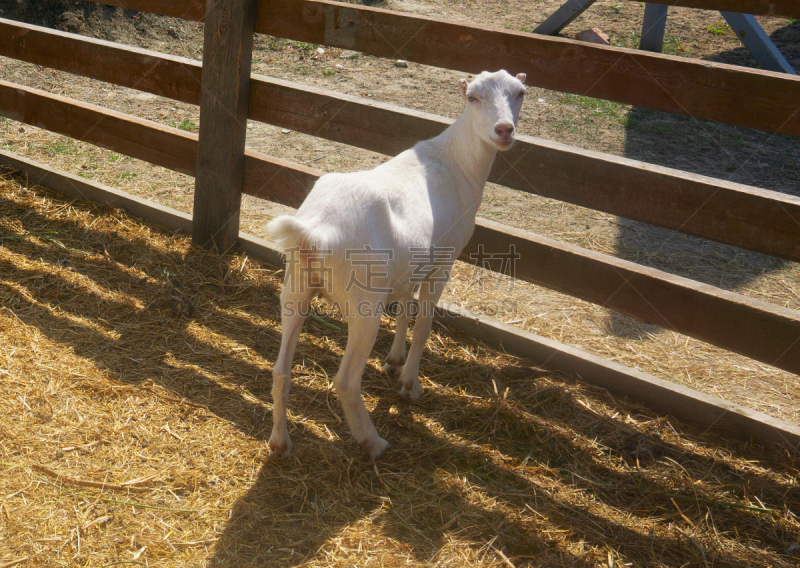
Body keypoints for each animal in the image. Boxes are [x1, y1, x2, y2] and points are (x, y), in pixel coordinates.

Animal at [268, 70, 528, 462]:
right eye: (473, 97)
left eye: (520, 93)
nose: (504, 130)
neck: (458, 163)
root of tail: (316, 231)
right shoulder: (444, 260)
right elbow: (424, 324)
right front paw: (409, 383)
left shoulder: (411, 265)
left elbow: (406, 306)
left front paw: (394, 360)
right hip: (363, 302)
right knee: (346, 380)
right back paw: (372, 441)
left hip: (295, 287)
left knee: (281, 371)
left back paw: (280, 442)